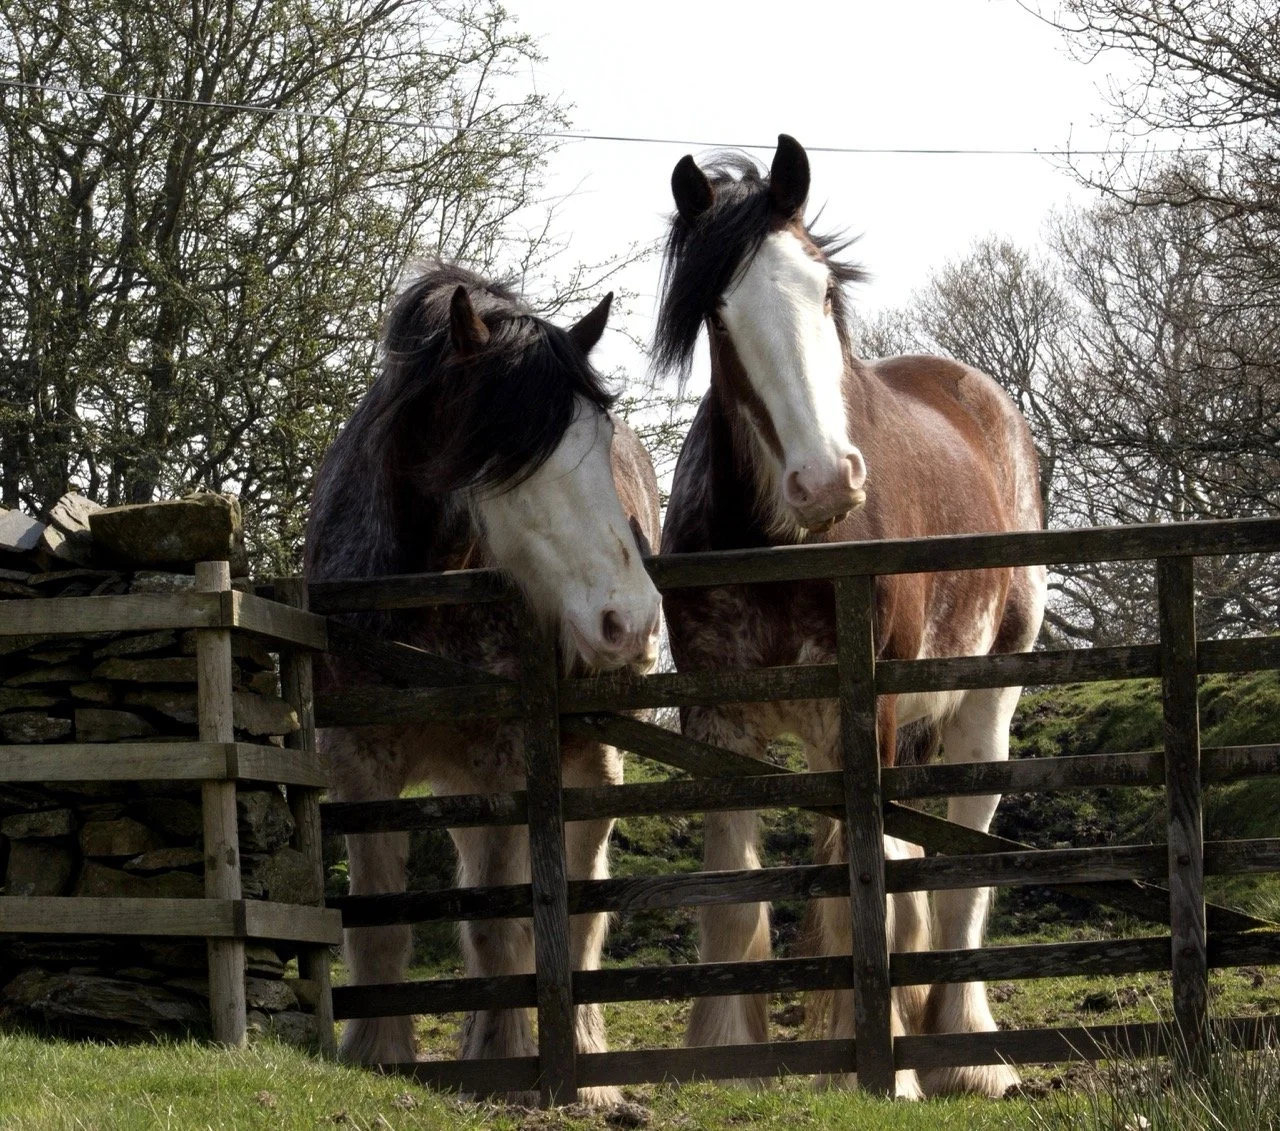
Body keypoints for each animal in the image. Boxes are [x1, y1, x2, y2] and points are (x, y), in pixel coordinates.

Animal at [305, 263, 662, 1106]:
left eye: (601, 443)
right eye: (513, 454)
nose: (630, 619)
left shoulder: (506, 763)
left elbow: (505, 925)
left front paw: (507, 1057)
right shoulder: (360, 764)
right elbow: (383, 925)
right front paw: (378, 1052)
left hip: (591, 767)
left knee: (581, 915)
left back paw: (582, 1065)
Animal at [655, 137, 1046, 1099]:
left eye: (823, 290)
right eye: (719, 314)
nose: (826, 479)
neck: (779, 546)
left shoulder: (867, 714)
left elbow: (878, 889)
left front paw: (893, 1070)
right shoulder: (717, 720)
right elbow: (735, 894)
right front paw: (729, 1053)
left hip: (984, 704)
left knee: (959, 874)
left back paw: (971, 1055)